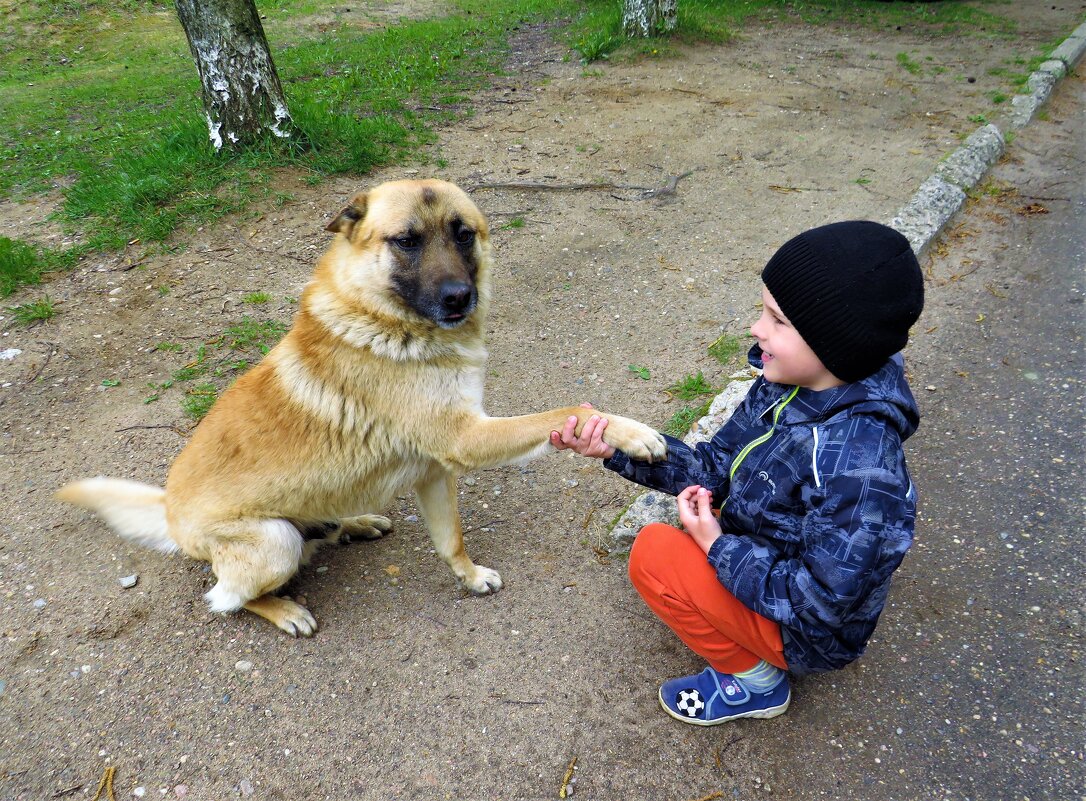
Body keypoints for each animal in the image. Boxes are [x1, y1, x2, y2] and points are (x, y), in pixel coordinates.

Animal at [61, 178, 668, 633]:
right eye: (406, 241)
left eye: (463, 234)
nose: (459, 298)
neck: (388, 323)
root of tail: (168, 510)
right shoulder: (466, 439)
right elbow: (573, 411)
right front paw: (632, 432)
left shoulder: (436, 472)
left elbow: (451, 540)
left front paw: (470, 578)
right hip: (274, 541)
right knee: (226, 599)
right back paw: (284, 609)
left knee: (319, 531)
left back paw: (356, 522)